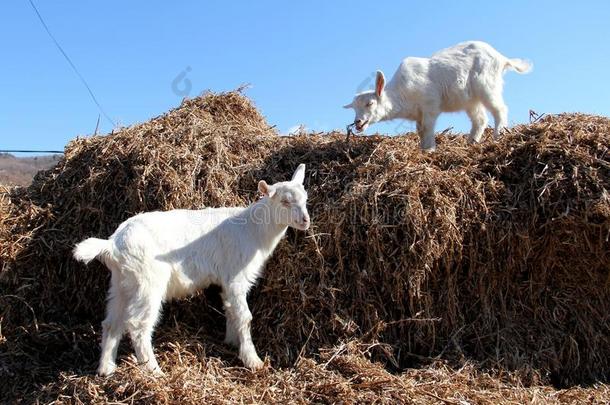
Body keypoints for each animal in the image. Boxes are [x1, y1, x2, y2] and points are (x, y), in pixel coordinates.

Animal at [72, 163, 308, 376]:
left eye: (305, 199)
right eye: (285, 201)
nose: (306, 221)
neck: (254, 229)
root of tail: (112, 245)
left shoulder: (226, 281)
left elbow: (229, 309)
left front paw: (231, 342)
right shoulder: (236, 276)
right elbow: (244, 317)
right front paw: (253, 361)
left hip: (122, 283)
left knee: (111, 323)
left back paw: (106, 369)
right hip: (148, 281)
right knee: (138, 325)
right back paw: (154, 370)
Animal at [344, 40, 528, 151]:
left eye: (370, 103)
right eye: (354, 108)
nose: (358, 122)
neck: (401, 94)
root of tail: (501, 58)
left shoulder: (430, 104)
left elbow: (427, 127)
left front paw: (430, 150)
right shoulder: (418, 113)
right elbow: (420, 130)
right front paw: (423, 148)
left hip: (487, 85)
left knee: (500, 110)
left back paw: (498, 136)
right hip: (470, 100)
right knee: (480, 119)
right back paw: (471, 143)